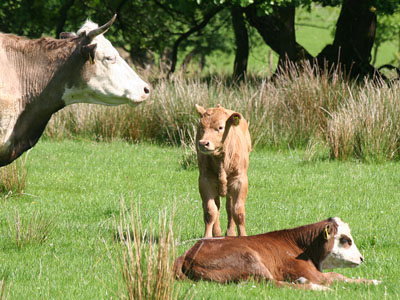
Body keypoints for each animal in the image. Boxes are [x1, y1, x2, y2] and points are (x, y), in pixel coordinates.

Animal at [175, 218, 382, 290]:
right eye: (346, 240)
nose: (362, 258)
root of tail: (188, 253)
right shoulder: (311, 272)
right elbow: (337, 276)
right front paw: (373, 281)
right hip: (250, 260)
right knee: (273, 283)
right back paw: (317, 288)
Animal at [195, 104, 252, 238]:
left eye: (220, 127)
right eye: (201, 127)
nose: (203, 143)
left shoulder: (239, 181)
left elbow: (238, 211)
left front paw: (243, 236)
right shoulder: (205, 181)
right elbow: (210, 211)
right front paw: (207, 237)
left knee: (229, 207)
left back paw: (230, 233)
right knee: (217, 206)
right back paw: (217, 233)